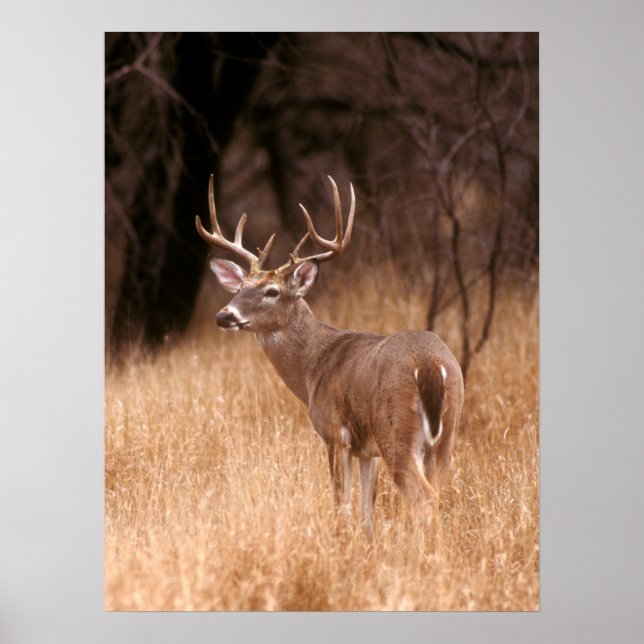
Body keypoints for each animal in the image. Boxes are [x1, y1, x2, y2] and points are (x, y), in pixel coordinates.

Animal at [196, 175, 464, 538]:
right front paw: (366, 543)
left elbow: (341, 503)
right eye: (239, 288)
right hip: (446, 435)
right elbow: (367, 507)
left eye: (272, 291)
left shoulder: (335, 432)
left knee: (424, 501)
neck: (314, 368)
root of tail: (430, 365)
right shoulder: (366, 450)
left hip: (396, 431)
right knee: (437, 496)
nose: (224, 315)